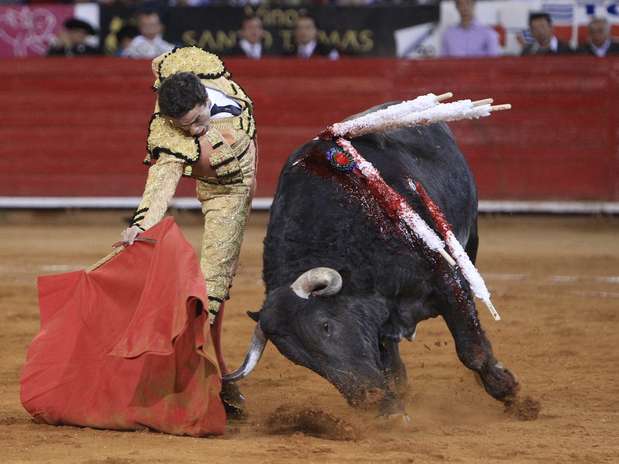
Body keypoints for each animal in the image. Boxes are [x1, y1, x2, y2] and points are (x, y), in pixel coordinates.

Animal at [225, 104, 520, 416]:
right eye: (298, 357)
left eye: (326, 326)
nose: (366, 399)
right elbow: (386, 364)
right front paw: (391, 410)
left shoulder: (446, 280)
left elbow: (471, 349)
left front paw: (507, 389)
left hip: (468, 239)